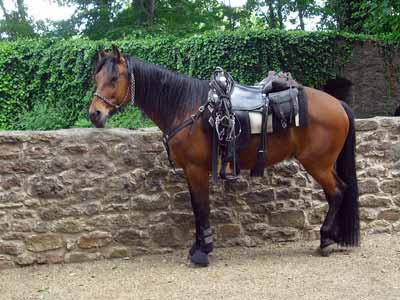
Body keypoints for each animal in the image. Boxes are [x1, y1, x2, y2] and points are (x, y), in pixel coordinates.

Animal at [90, 45, 360, 268]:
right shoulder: (190, 170)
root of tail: (338, 104)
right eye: (96, 77)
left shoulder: (196, 169)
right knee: (339, 191)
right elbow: (196, 208)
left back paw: (325, 239)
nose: (95, 114)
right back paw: (332, 237)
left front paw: (202, 252)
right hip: (324, 164)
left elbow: (201, 208)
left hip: (318, 164)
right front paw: (197, 247)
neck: (186, 107)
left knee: (337, 192)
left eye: (114, 78)